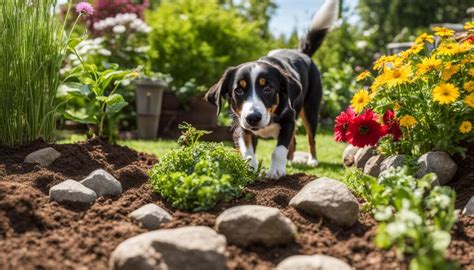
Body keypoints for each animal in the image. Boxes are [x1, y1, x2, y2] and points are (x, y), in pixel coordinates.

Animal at [206, 0, 338, 179]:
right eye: (238, 90)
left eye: (267, 88)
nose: (253, 118)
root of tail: (302, 53)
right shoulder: (241, 125)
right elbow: (248, 151)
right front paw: (251, 168)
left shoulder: (288, 121)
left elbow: (278, 150)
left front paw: (276, 170)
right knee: (294, 141)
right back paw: (290, 161)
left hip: (310, 110)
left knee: (310, 137)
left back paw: (312, 160)